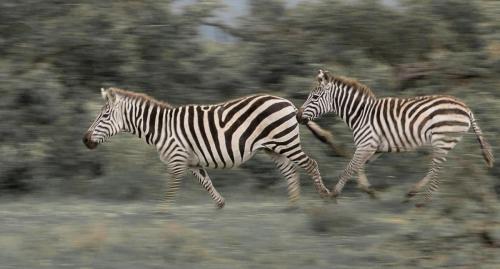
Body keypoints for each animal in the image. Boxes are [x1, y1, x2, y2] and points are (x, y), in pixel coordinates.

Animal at [83, 87, 336, 208]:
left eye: (104, 116)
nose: (85, 140)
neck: (161, 128)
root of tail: (290, 105)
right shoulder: (192, 162)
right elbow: (206, 183)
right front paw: (220, 205)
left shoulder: (177, 159)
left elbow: (171, 187)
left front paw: (163, 211)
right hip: (273, 147)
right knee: (290, 171)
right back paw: (292, 205)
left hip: (285, 142)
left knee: (310, 164)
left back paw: (325, 196)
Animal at [298, 69, 494, 205]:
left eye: (315, 97)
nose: (298, 117)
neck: (361, 114)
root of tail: (466, 108)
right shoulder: (374, 148)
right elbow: (358, 166)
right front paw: (368, 190)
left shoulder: (367, 144)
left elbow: (349, 168)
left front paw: (333, 194)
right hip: (447, 142)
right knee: (439, 168)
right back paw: (413, 193)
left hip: (442, 139)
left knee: (436, 170)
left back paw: (424, 202)